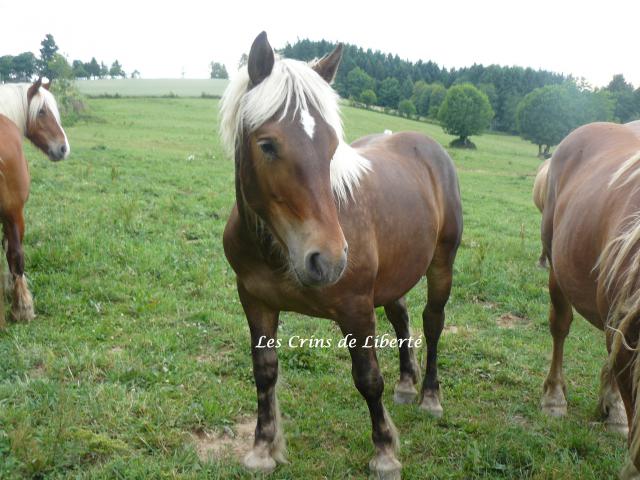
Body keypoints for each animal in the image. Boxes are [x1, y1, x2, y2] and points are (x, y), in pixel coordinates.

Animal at [0, 79, 70, 326]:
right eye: (41, 112)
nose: (63, 148)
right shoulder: (12, 212)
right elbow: (11, 251)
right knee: (16, 254)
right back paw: (23, 308)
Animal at [220, 31, 460, 478]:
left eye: (332, 146)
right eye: (267, 145)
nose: (327, 260)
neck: (279, 251)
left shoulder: (356, 308)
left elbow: (368, 378)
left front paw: (384, 453)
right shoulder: (255, 300)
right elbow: (264, 372)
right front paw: (263, 447)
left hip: (441, 264)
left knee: (432, 322)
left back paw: (430, 396)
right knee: (402, 317)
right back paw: (407, 384)